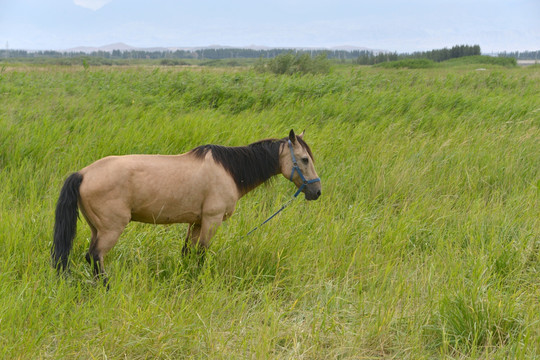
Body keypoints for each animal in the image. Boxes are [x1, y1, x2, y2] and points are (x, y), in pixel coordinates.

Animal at [50, 129, 320, 284]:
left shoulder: (196, 221)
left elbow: (187, 252)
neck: (228, 171)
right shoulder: (211, 220)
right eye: (304, 159)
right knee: (94, 257)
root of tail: (83, 174)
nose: (316, 191)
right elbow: (201, 253)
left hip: (97, 228)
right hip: (111, 229)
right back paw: (106, 287)